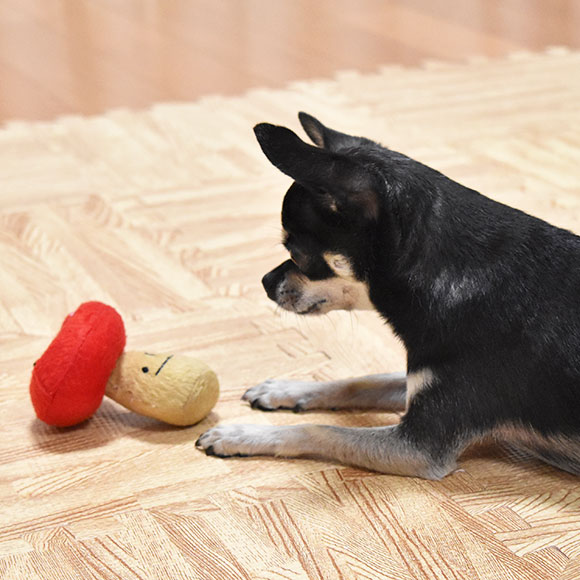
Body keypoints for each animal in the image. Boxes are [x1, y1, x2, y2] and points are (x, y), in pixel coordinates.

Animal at [196, 113, 580, 480]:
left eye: (298, 254)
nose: (264, 281)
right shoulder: (416, 381)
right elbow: (360, 381)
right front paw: (285, 390)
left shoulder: (417, 447)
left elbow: (319, 430)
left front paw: (241, 434)